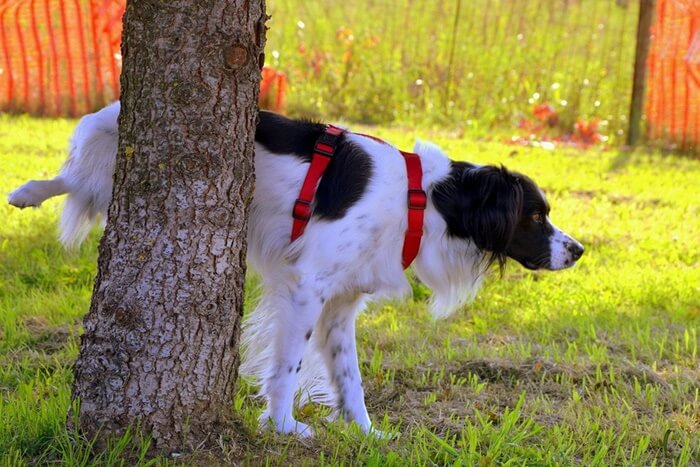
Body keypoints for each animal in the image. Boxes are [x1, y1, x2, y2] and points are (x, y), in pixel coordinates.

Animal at [8, 101, 584, 436]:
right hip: (107, 155)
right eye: (536, 216)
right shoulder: (307, 288)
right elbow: (286, 368)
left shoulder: (341, 305)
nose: (578, 251)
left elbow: (349, 379)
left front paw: (365, 434)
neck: (422, 199)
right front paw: (283, 426)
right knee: (71, 176)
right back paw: (26, 192)